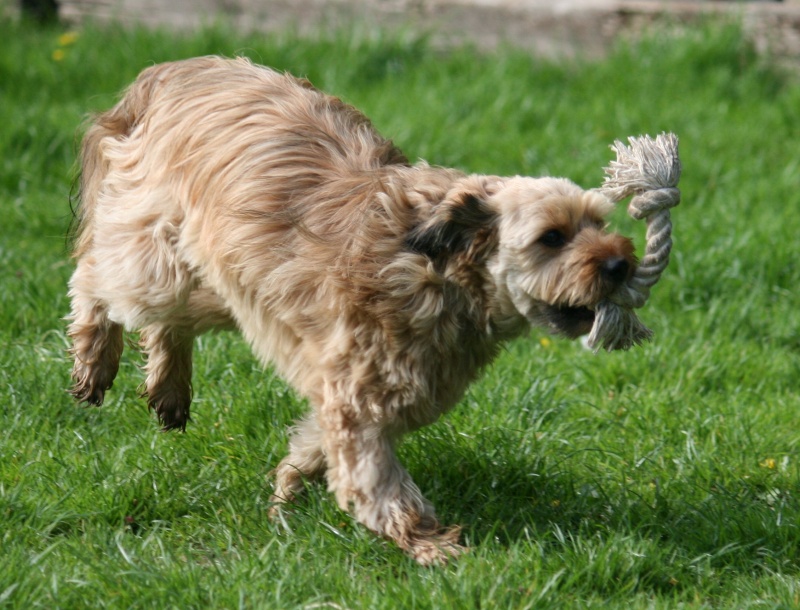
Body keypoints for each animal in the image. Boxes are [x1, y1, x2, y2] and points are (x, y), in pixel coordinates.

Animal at [67, 55, 636, 560]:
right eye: (551, 237)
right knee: (94, 276)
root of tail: (170, 71)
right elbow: (377, 483)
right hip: (161, 260)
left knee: (169, 322)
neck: (437, 271)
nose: (621, 263)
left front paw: (285, 494)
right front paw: (430, 544)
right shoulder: (360, 397)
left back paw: (169, 388)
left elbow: (313, 445)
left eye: (599, 222)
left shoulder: (346, 384)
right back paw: (95, 361)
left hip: (222, 274)